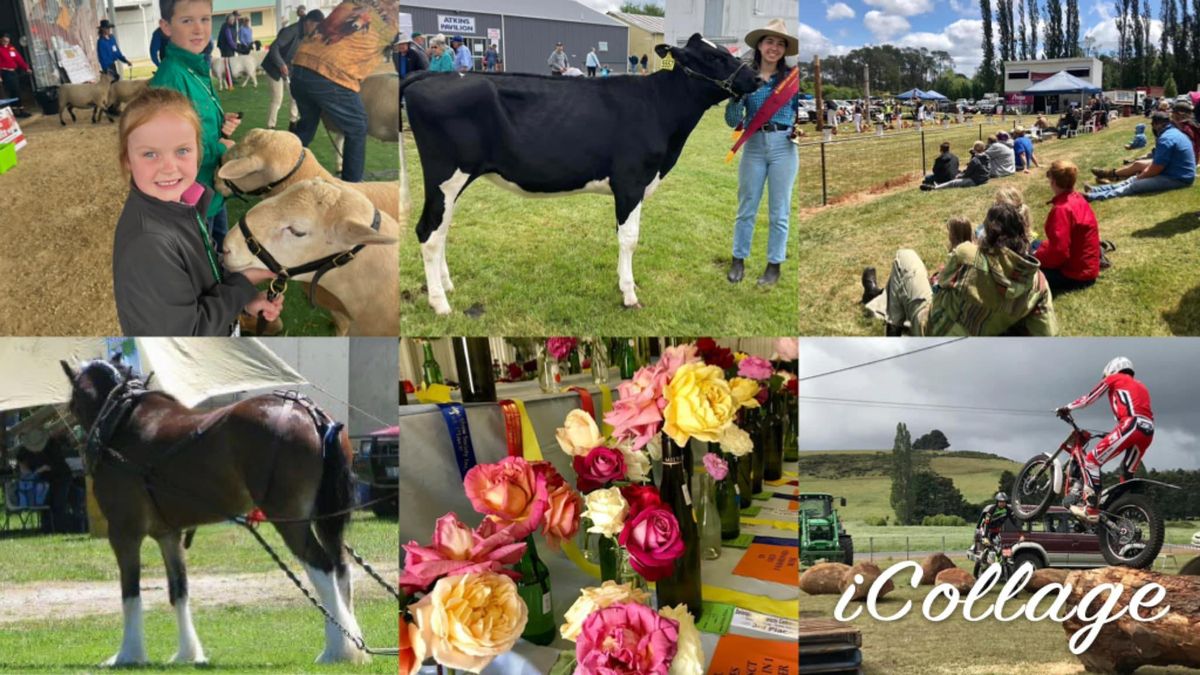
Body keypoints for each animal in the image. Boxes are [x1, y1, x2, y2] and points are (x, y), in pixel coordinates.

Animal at [60, 357, 367, 662]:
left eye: (72, 403)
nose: (71, 441)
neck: (121, 422)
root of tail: (309, 412)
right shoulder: (167, 534)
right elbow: (179, 590)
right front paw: (187, 654)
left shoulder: (124, 532)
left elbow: (130, 593)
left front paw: (128, 654)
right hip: (323, 519)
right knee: (341, 567)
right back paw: (353, 645)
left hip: (290, 518)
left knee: (322, 567)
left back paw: (335, 650)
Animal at [403, 34, 758, 312]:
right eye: (714, 57)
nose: (757, 77)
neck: (659, 106)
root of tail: (432, 76)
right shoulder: (631, 181)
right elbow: (629, 238)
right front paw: (629, 295)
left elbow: (621, 235)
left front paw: (623, 283)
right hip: (445, 176)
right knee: (427, 232)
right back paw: (440, 303)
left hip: (452, 183)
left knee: (441, 229)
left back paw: (447, 286)